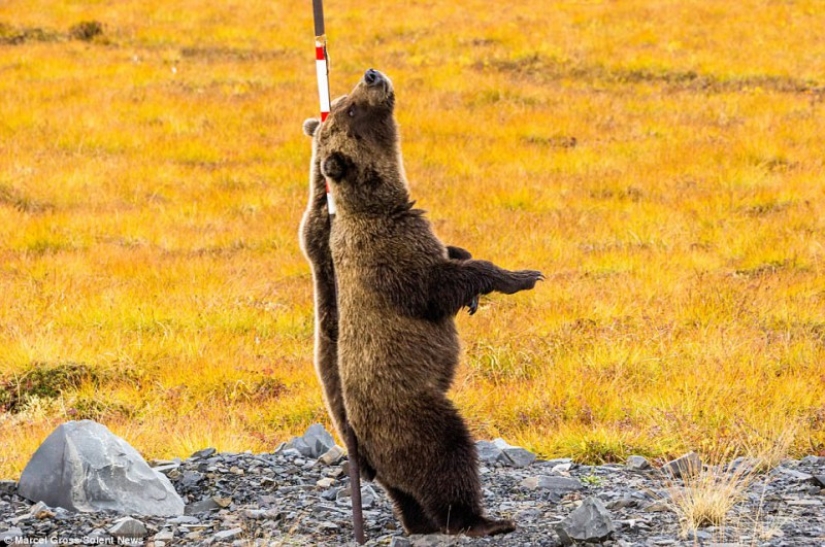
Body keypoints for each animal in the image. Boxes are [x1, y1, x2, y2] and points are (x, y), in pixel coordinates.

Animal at [304, 68, 542, 537]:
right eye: (350, 108)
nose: (371, 75)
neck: (378, 203)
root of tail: (367, 455)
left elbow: (452, 259)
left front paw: (470, 272)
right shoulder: (390, 256)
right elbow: (435, 287)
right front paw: (520, 277)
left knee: (406, 493)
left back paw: (419, 523)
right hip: (412, 413)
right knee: (447, 454)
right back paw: (484, 520)